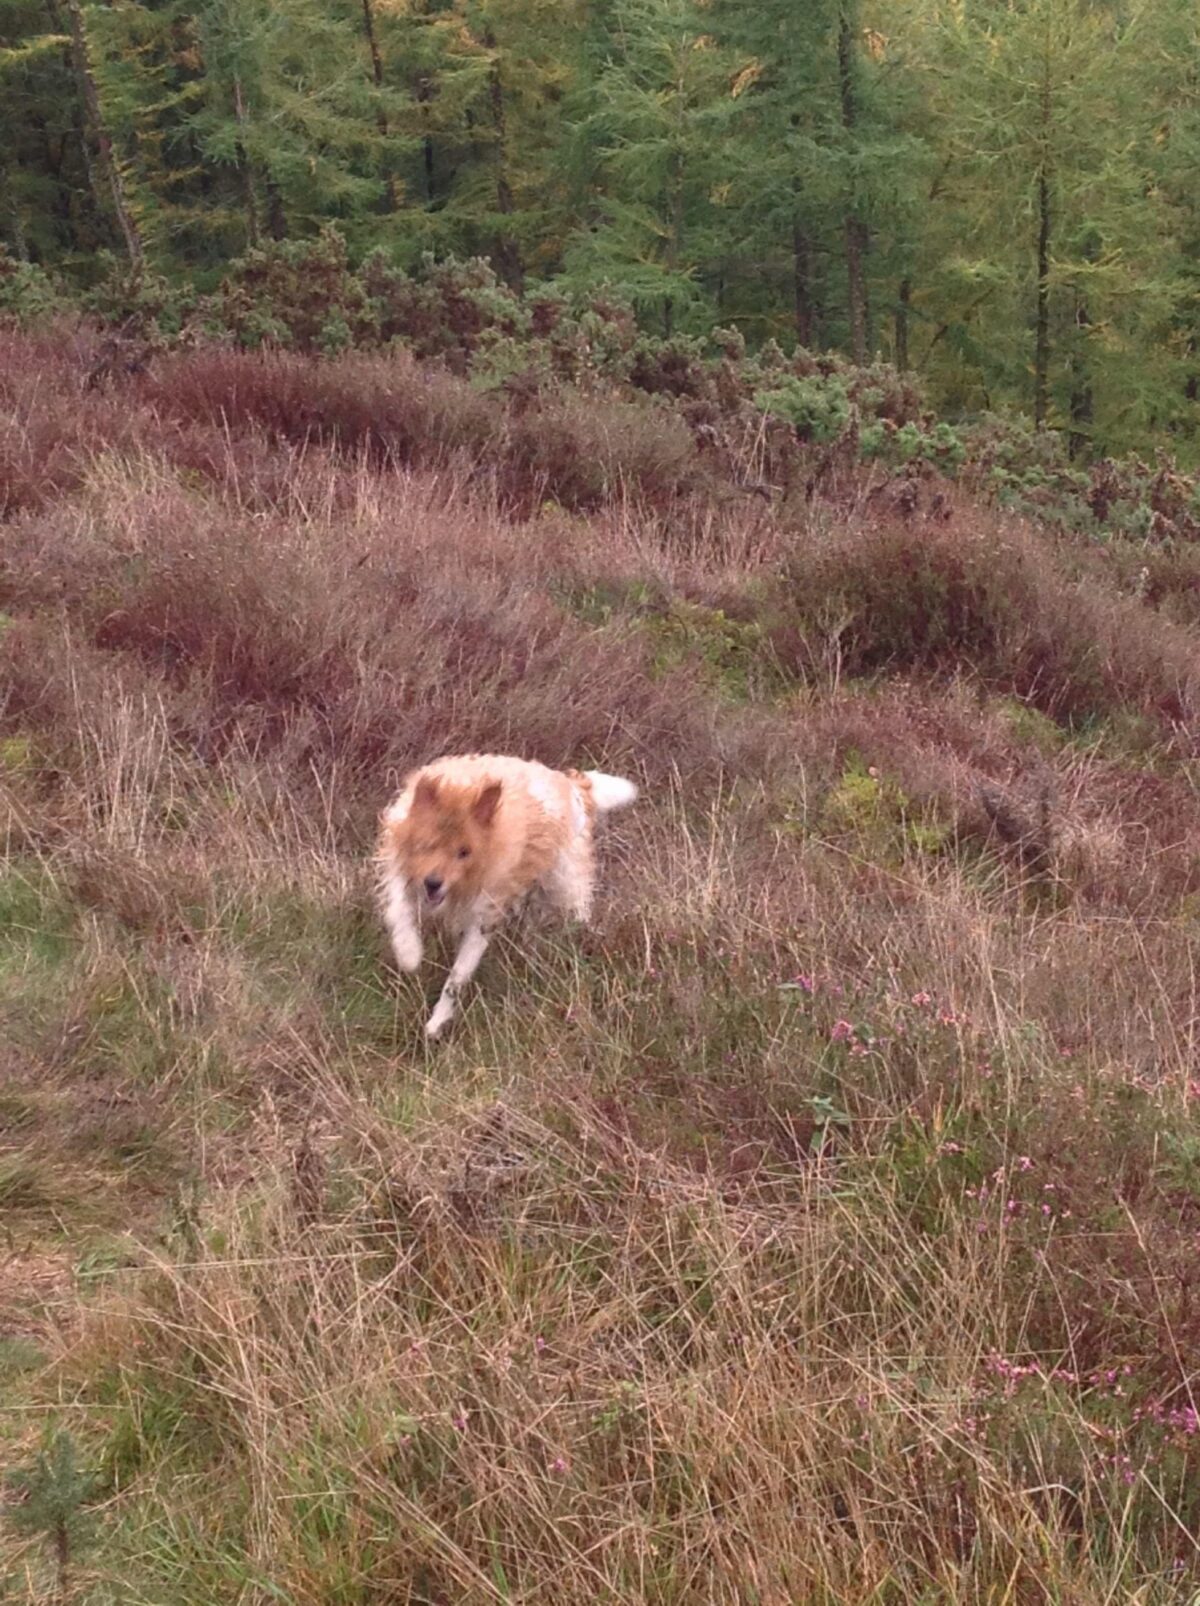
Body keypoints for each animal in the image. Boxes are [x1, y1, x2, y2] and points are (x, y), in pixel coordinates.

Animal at [377, 754, 639, 1034]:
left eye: (464, 852)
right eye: (427, 845)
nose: (434, 883)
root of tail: (571, 784)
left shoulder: (483, 920)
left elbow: (457, 978)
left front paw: (437, 1021)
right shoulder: (403, 874)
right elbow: (399, 912)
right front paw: (409, 952)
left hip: (564, 884)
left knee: (578, 909)